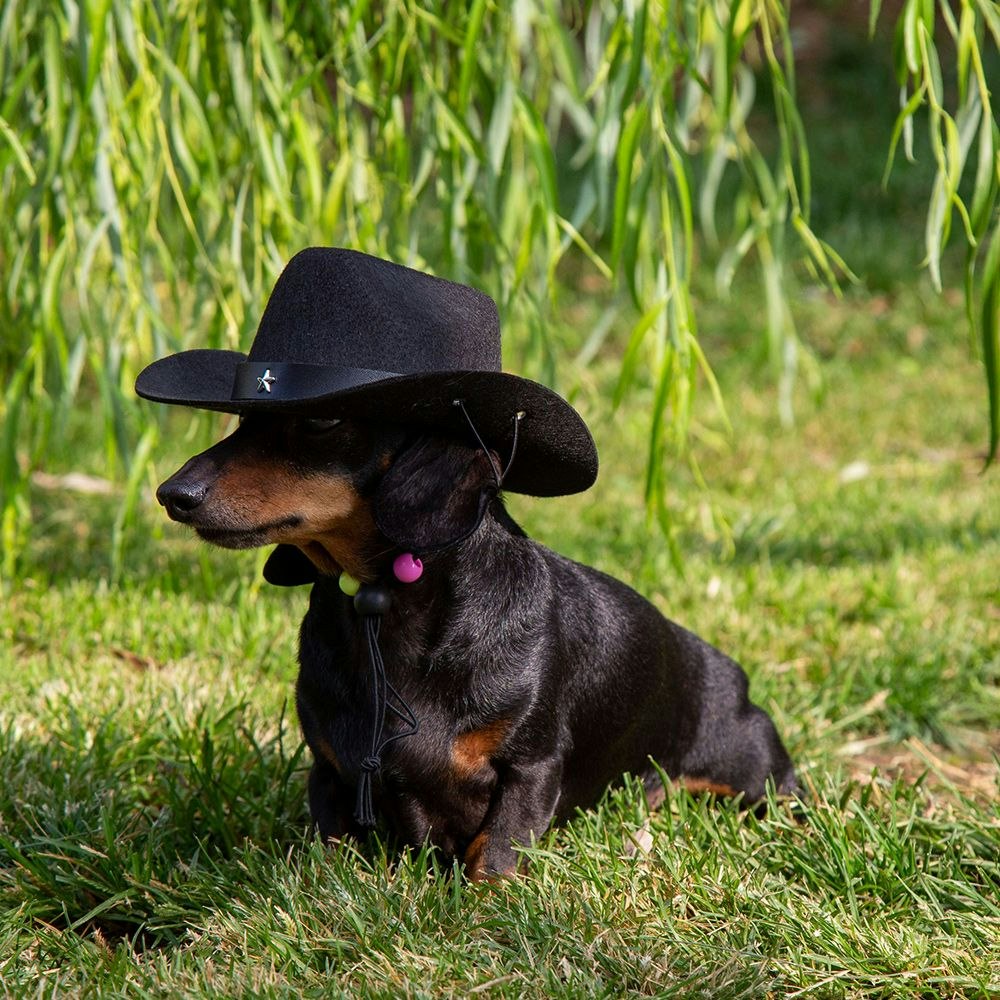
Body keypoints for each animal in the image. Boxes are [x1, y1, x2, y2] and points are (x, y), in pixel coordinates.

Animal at [154, 410, 796, 880]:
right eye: (242, 416)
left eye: (320, 419)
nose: (171, 494)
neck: (388, 609)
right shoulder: (332, 772)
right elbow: (333, 845)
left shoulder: (530, 765)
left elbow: (499, 843)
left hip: (751, 771)